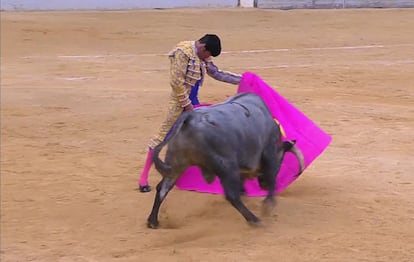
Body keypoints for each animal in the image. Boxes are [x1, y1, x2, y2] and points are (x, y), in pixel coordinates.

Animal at [146, 93, 304, 228]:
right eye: (281, 160)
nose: (262, 185)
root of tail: (190, 118)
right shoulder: (269, 153)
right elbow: (271, 178)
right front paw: (268, 205)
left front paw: (247, 194)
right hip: (226, 167)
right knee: (231, 195)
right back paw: (255, 220)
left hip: (177, 163)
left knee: (163, 187)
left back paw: (153, 221)